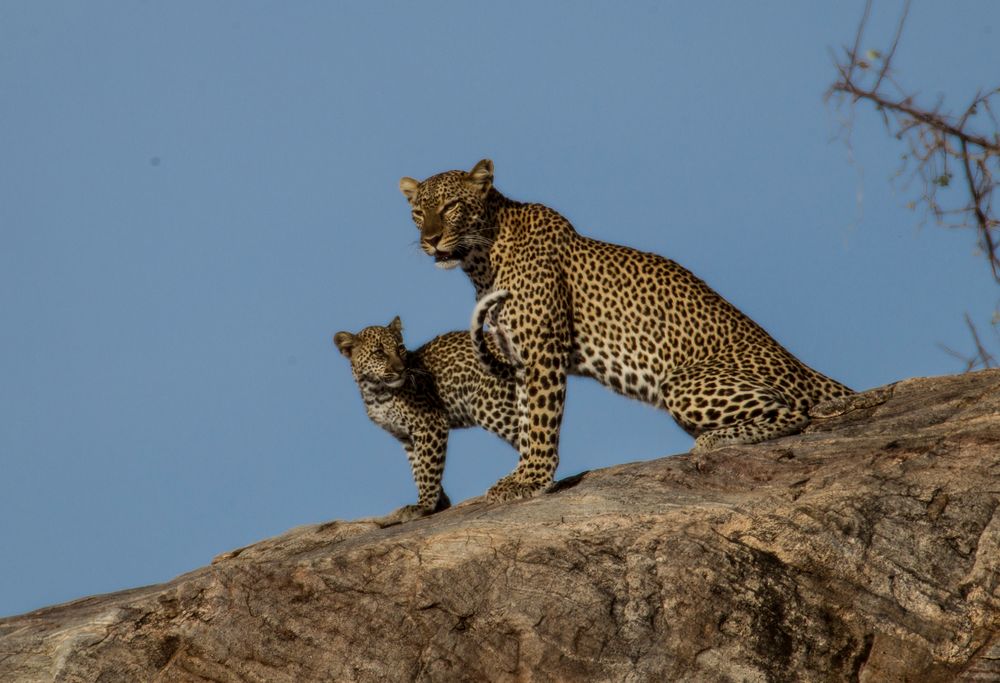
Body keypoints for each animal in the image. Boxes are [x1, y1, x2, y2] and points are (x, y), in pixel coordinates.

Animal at [398, 160, 852, 502]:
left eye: (452, 205)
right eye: (418, 213)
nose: (430, 239)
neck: (481, 258)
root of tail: (801, 366)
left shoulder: (543, 352)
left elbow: (541, 419)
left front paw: (532, 479)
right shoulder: (520, 358)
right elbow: (526, 418)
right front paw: (522, 474)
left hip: (683, 385)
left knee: (796, 412)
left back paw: (716, 441)